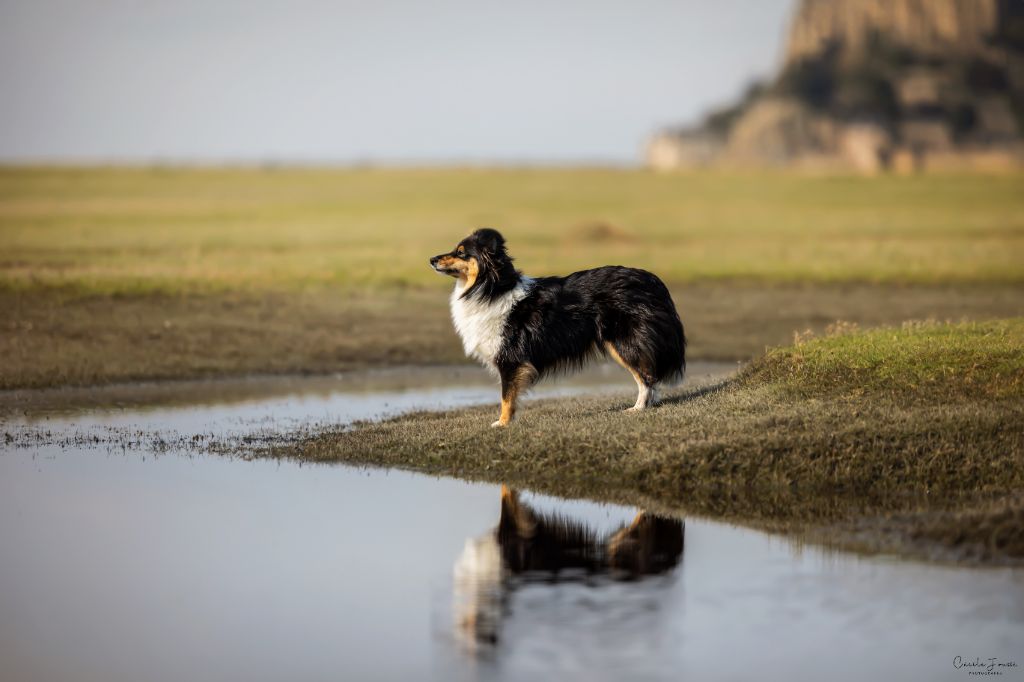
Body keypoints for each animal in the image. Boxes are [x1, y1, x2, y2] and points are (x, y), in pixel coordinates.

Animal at [428, 228, 684, 425]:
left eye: (461, 253)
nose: (431, 259)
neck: (491, 288)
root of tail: (653, 280)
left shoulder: (510, 359)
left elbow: (506, 397)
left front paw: (502, 424)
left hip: (623, 342)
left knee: (646, 377)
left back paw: (638, 408)